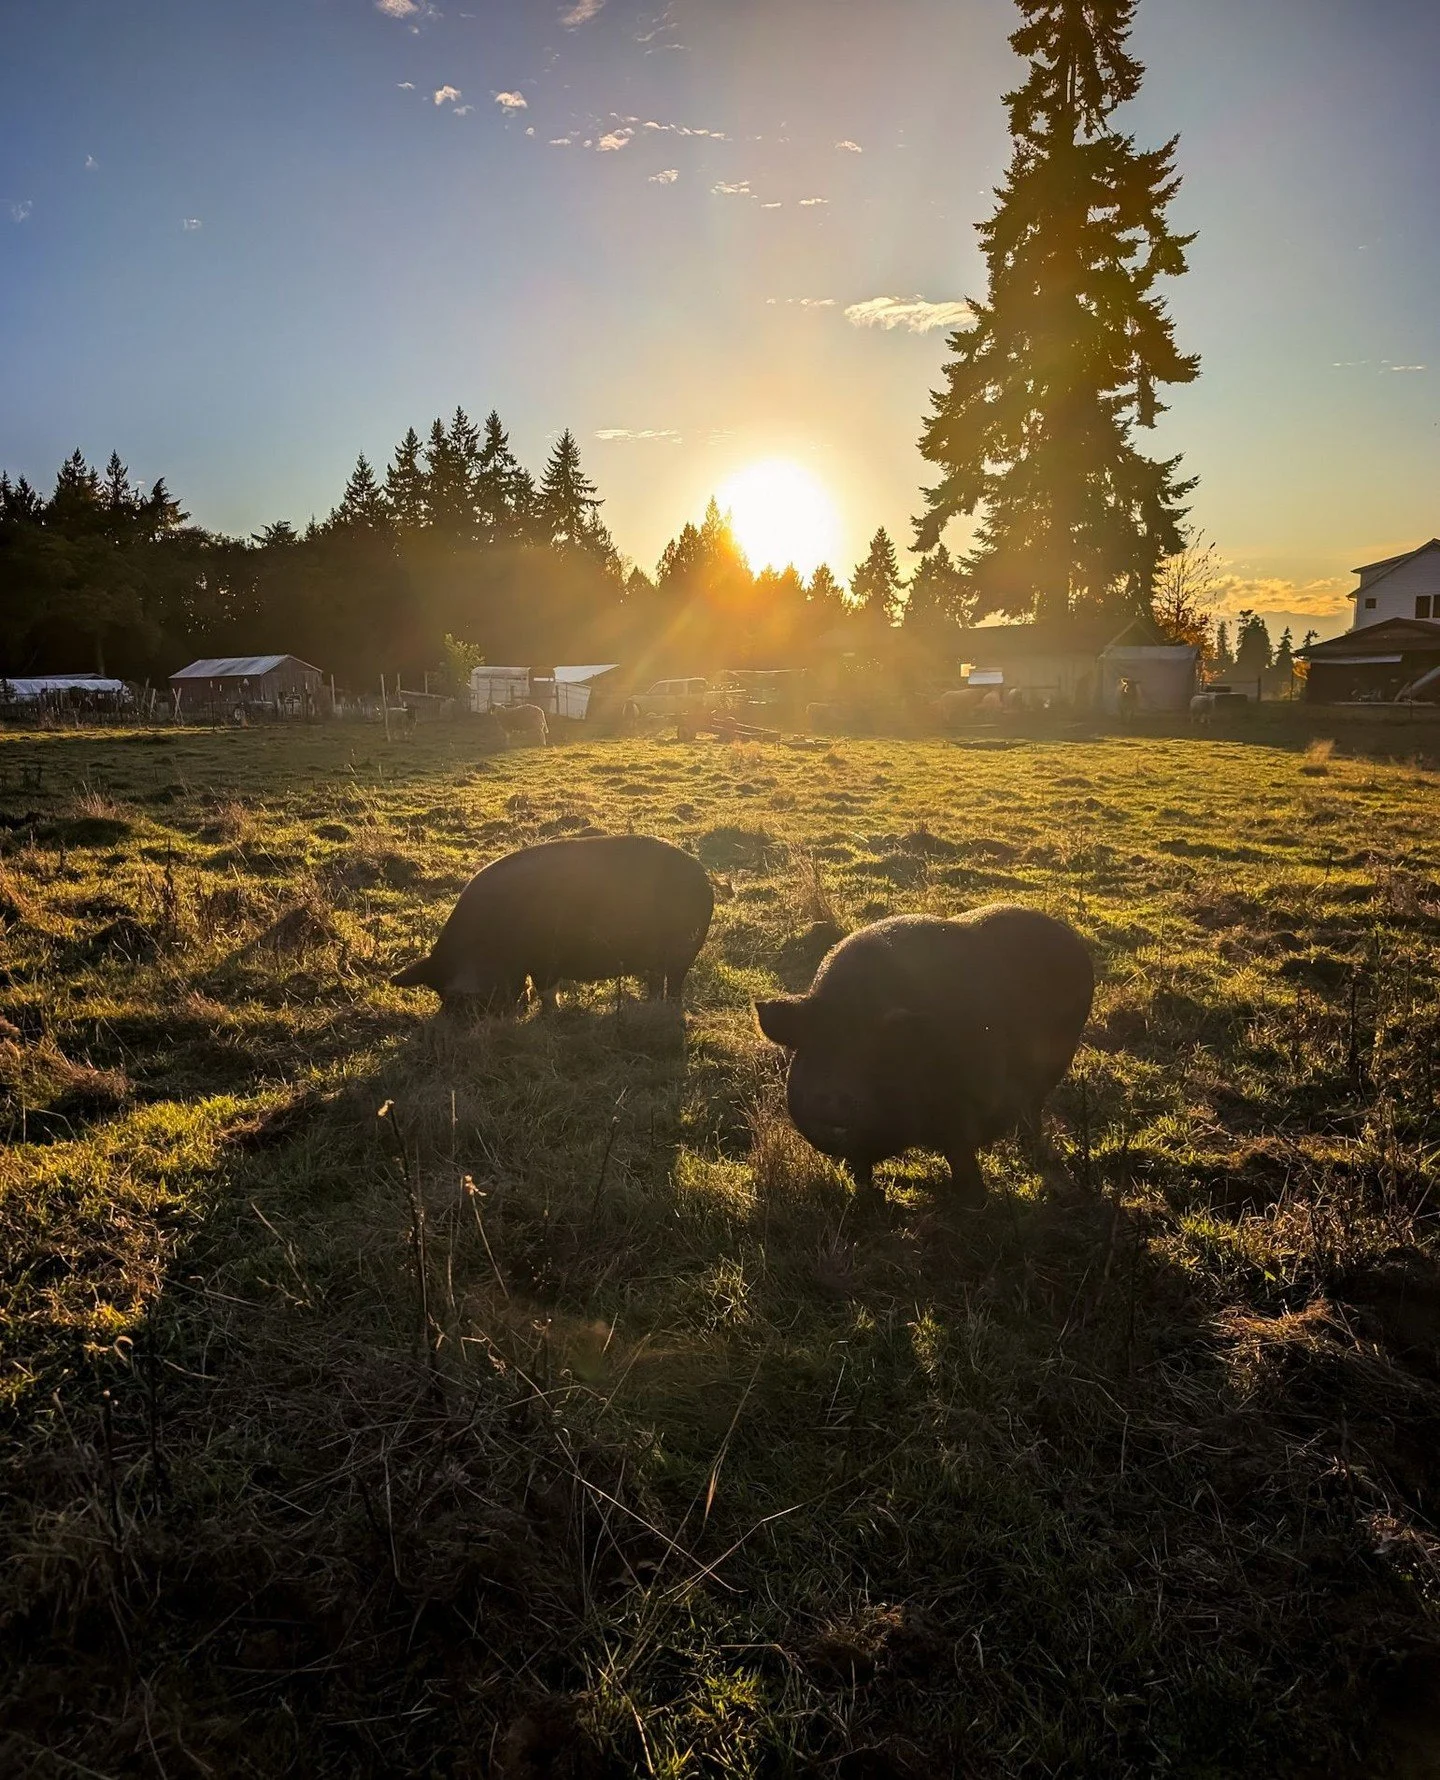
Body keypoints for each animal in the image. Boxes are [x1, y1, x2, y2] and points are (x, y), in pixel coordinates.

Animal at [390, 834, 714, 1012]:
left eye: (457, 997)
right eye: (439, 994)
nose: (447, 1024)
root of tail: (703, 875)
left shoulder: (545, 959)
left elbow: (547, 990)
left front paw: (549, 1014)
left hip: (684, 948)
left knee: (674, 983)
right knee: (657, 981)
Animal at [754, 904, 1093, 1207]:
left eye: (872, 1053)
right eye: (815, 1047)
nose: (832, 1098)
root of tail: (1066, 933)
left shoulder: (963, 1109)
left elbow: (960, 1154)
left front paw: (972, 1201)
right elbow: (860, 1168)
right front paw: (871, 1196)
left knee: (1032, 1110)